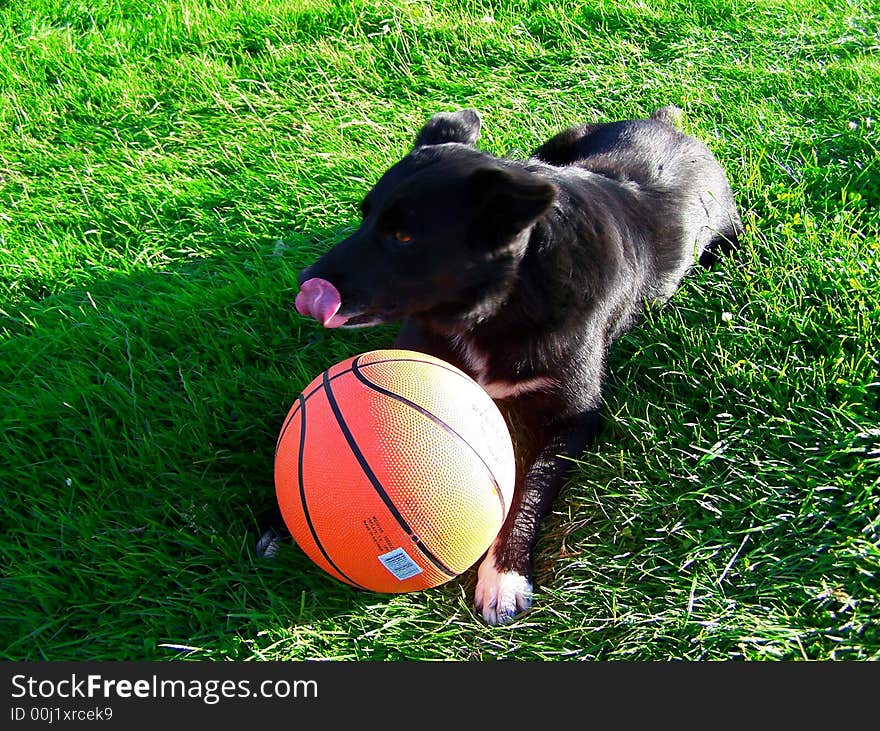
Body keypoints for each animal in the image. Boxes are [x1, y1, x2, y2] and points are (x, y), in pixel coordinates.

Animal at [284, 106, 744, 628]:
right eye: (365, 217)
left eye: (403, 236)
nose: (304, 285)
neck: (509, 294)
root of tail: (668, 123)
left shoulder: (575, 418)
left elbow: (531, 487)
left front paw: (503, 574)